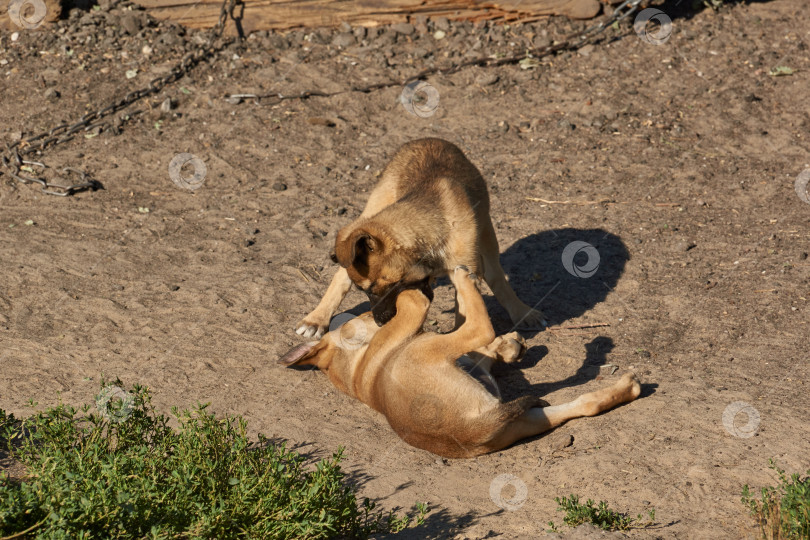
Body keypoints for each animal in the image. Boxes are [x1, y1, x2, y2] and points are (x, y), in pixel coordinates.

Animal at [280, 268, 640, 458]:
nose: (377, 313)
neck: (357, 366)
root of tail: (471, 428)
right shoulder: (413, 327)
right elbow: (427, 307)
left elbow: (483, 354)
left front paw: (509, 346)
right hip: (431, 352)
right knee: (478, 324)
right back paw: (461, 275)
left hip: (528, 419)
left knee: (585, 405)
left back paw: (625, 389)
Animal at [294, 137, 548, 338]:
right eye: (364, 291)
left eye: (393, 286)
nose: (380, 323)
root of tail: (429, 139)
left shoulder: (466, 274)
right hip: (371, 210)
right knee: (340, 274)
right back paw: (316, 319)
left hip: (487, 232)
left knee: (496, 276)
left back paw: (523, 312)